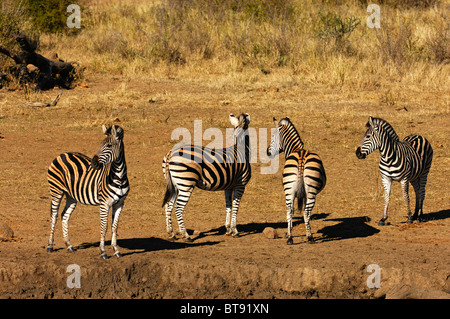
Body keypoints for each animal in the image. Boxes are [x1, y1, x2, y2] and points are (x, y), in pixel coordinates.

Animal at [46, 125, 129, 260]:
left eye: (109, 145)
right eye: (100, 144)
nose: (94, 163)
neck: (119, 177)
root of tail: (61, 154)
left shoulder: (119, 204)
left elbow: (114, 227)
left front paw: (116, 251)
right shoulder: (104, 203)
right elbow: (104, 226)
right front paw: (103, 252)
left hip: (71, 196)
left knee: (65, 215)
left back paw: (69, 245)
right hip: (56, 190)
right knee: (54, 216)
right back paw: (50, 246)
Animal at [268, 117, 326, 245]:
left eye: (273, 136)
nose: (267, 152)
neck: (296, 149)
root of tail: (301, 157)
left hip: (290, 190)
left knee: (291, 211)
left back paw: (292, 237)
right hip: (310, 192)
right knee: (305, 212)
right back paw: (308, 237)